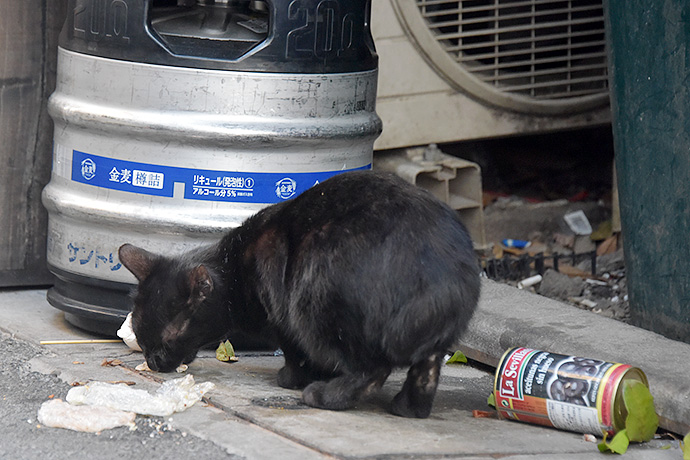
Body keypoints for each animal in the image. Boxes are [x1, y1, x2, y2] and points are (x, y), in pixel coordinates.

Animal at [118, 170, 478, 416]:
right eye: (140, 337)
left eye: (167, 340)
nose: (152, 361)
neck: (234, 266)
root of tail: (438, 279)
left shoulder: (282, 313)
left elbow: (293, 350)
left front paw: (294, 378)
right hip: (431, 343)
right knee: (426, 369)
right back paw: (408, 408)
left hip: (315, 294)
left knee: (373, 368)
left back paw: (326, 395)